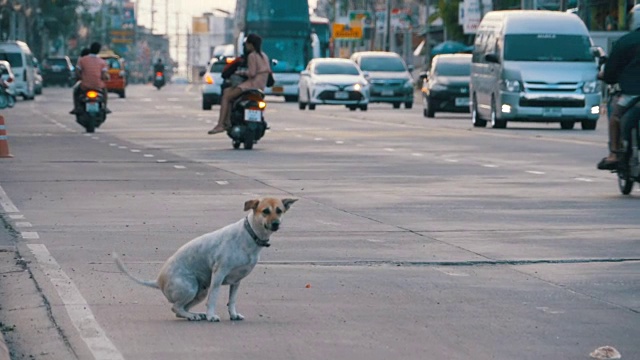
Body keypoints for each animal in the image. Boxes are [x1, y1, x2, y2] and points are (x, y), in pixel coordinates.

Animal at [112, 198, 298, 322]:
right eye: (265, 211)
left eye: (279, 210)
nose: (276, 224)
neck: (250, 235)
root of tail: (158, 281)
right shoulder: (218, 274)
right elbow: (214, 298)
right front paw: (211, 316)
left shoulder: (237, 280)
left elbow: (232, 300)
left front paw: (233, 315)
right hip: (191, 287)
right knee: (175, 307)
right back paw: (194, 316)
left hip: (199, 292)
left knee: (180, 309)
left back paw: (194, 315)